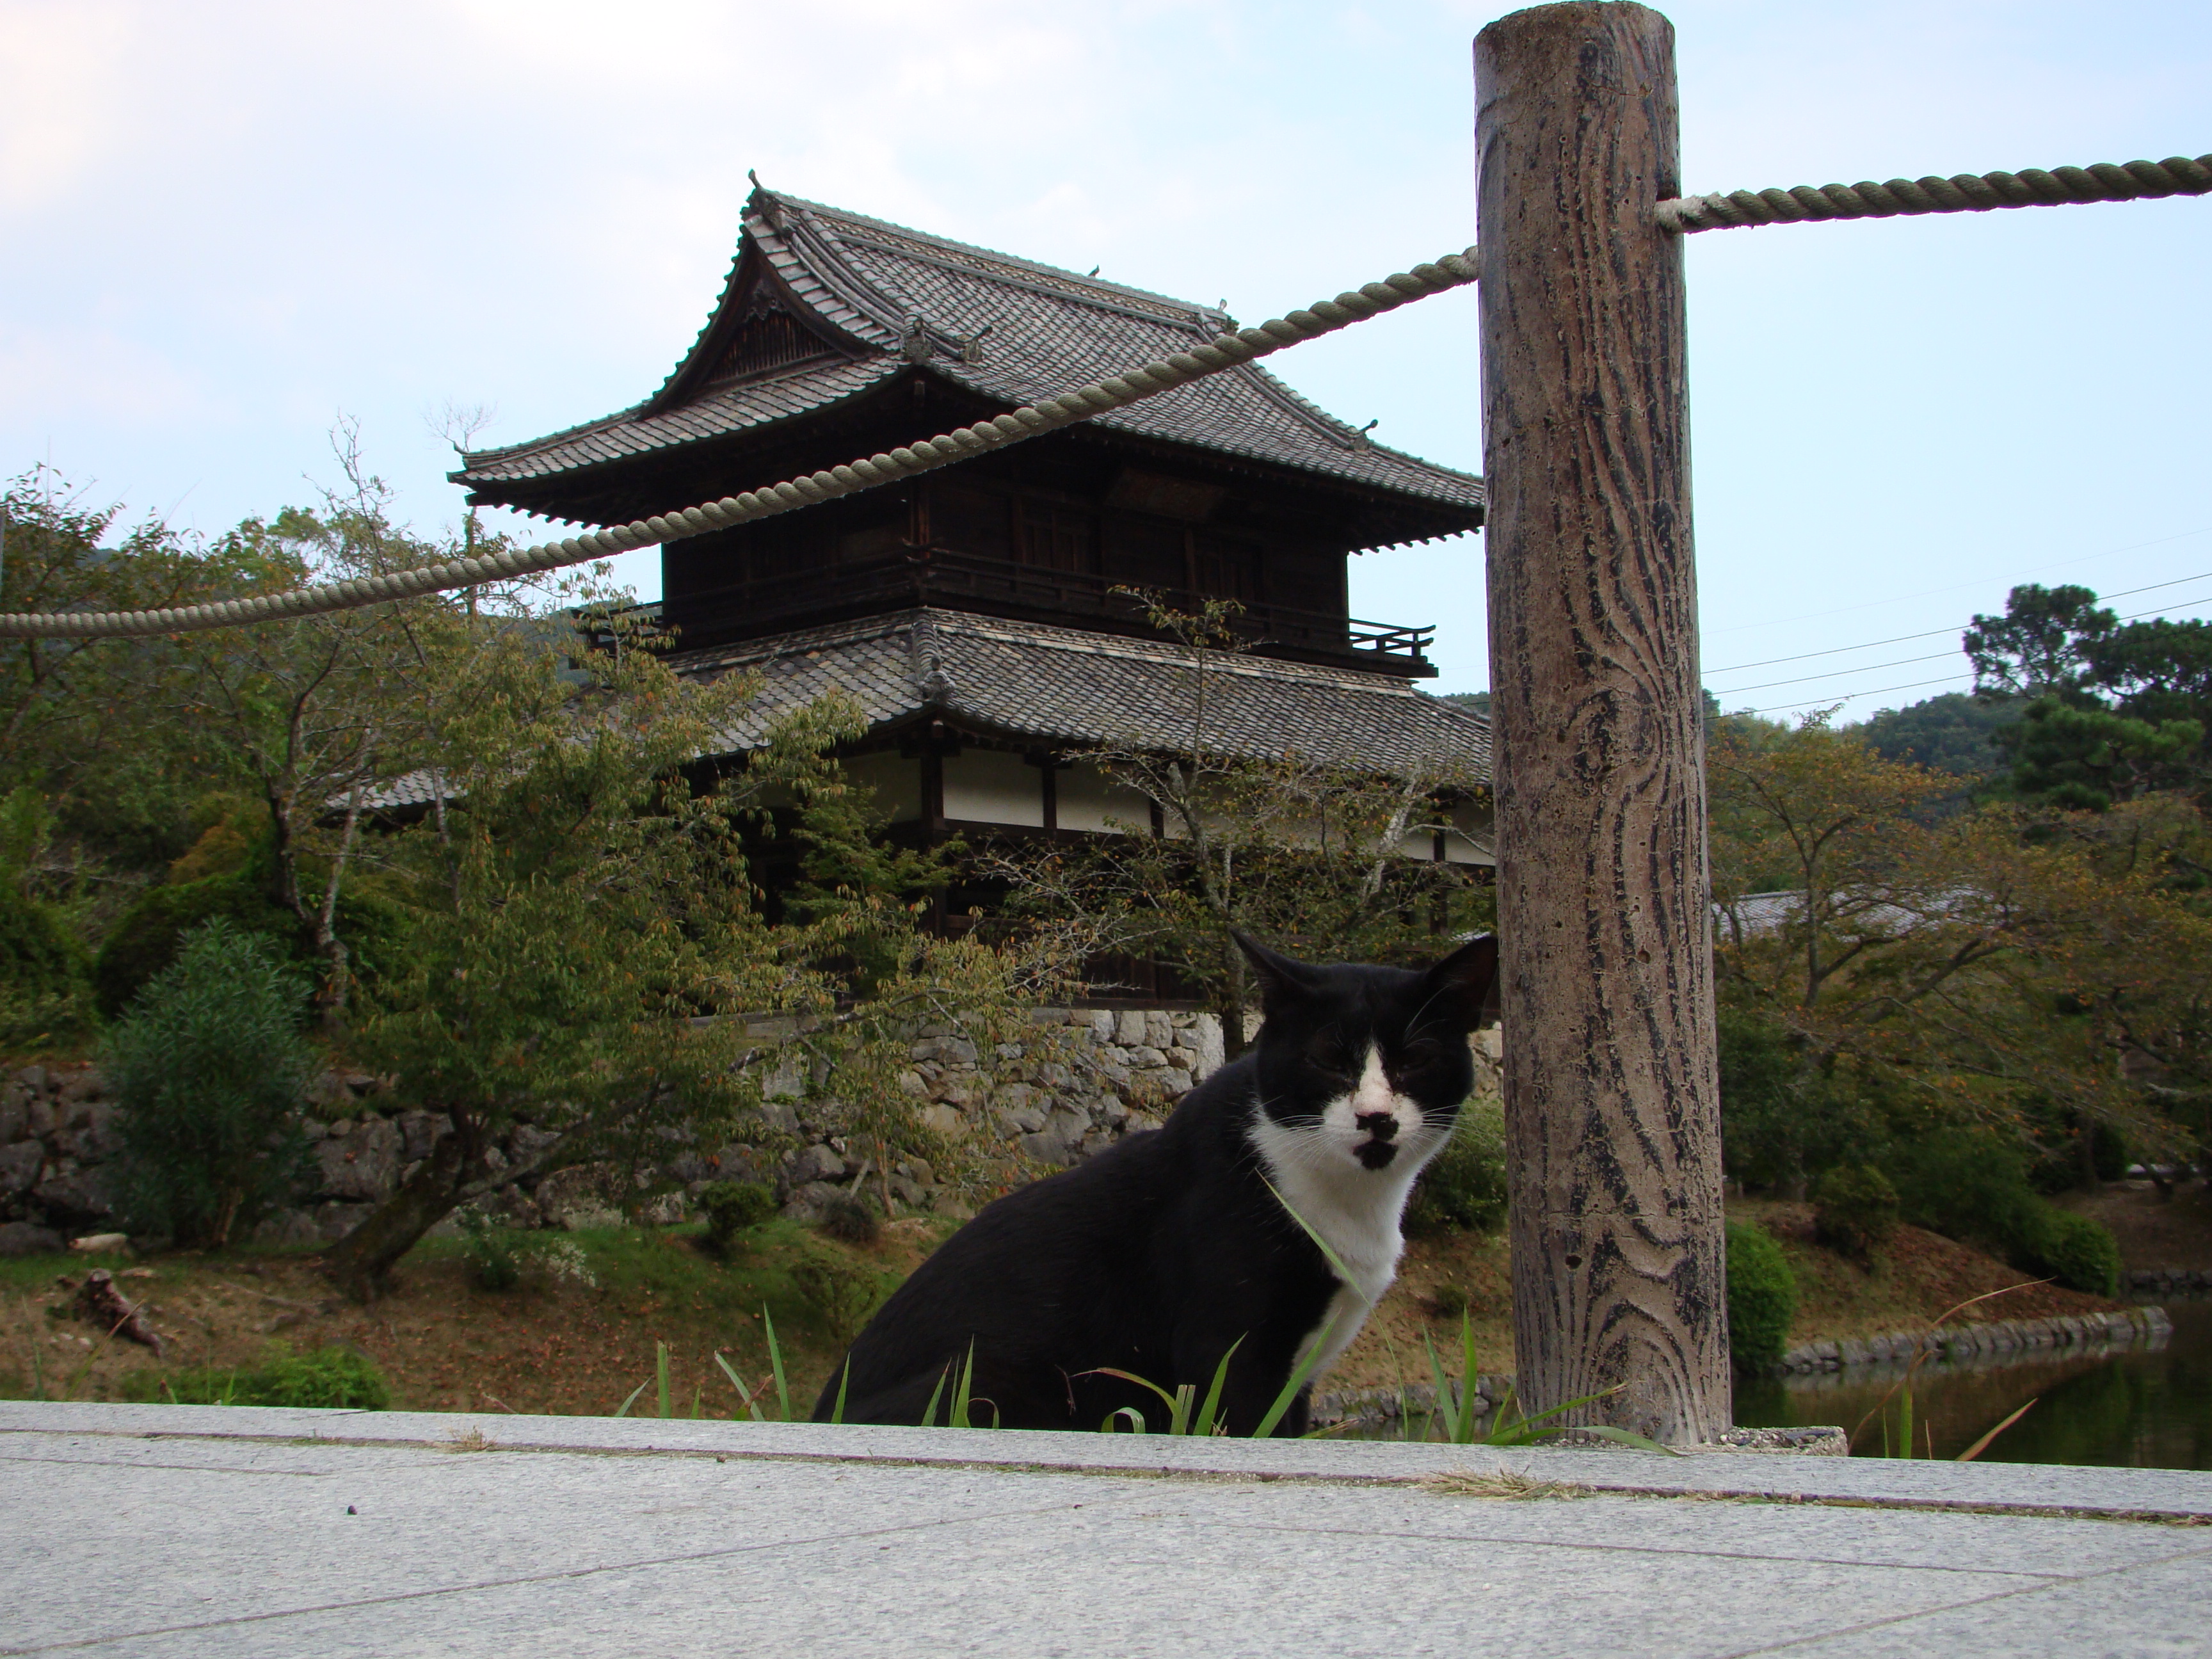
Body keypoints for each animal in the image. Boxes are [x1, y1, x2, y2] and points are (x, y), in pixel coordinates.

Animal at [813, 929, 1504, 1433]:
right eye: (1328, 1059)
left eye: (1416, 1060)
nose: (1375, 1117)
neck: (1346, 1200)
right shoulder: (1228, 1357)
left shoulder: (1297, 1378)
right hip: (996, 1381)